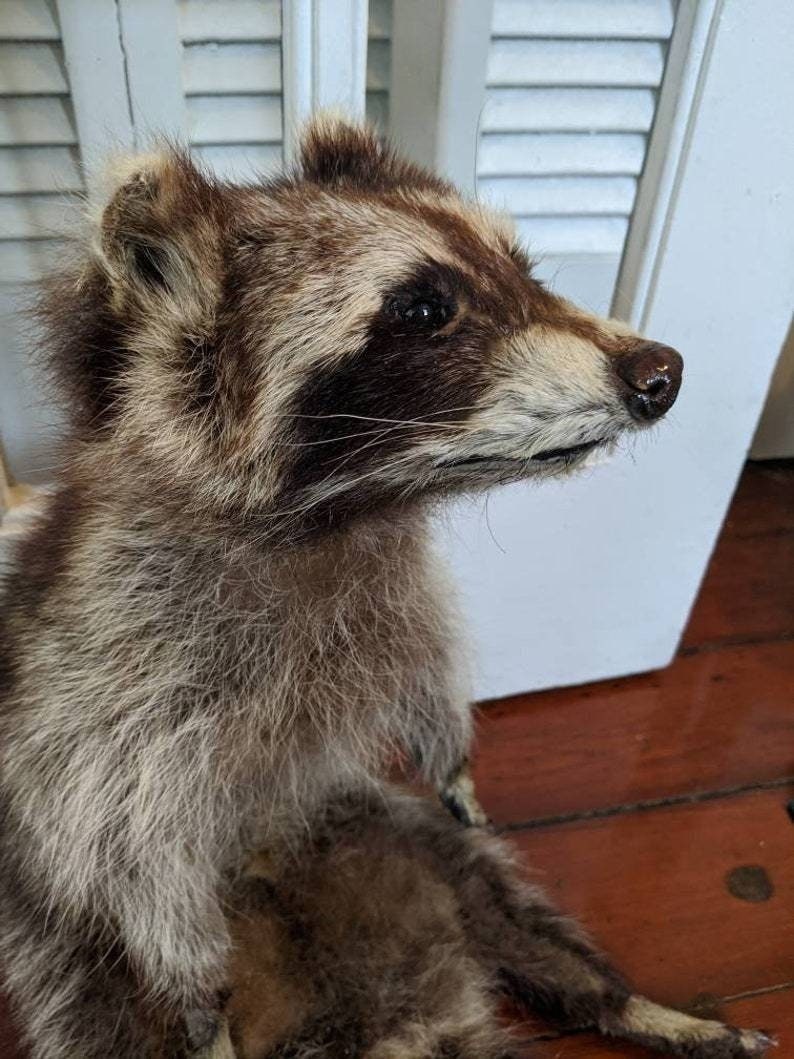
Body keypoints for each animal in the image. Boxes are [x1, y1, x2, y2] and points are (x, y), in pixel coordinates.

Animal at [0, 114, 755, 1059]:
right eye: (424, 309)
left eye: (525, 268)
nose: (662, 372)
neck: (348, 515)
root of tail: (410, 1020)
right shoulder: (102, 667)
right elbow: (118, 839)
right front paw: (193, 985)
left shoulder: (404, 593)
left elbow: (432, 672)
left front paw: (456, 758)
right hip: (76, 972)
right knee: (104, 1002)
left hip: (395, 832)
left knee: (502, 901)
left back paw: (626, 1001)